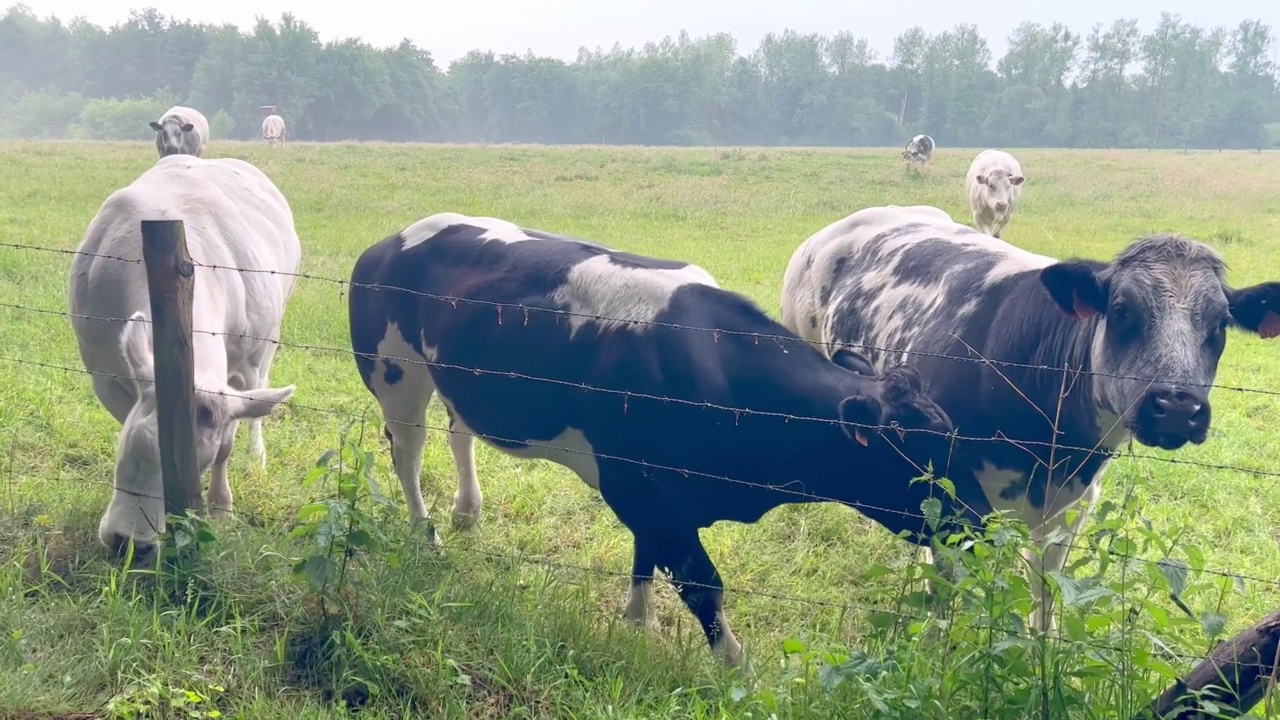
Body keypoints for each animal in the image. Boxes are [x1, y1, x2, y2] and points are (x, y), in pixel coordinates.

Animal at [67, 152, 302, 556]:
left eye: (195, 464)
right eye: (133, 447)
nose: (127, 542)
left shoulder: (236, 371)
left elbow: (226, 444)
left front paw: (221, 507)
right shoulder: (104, 374)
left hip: (271, 334)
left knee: (261, 390)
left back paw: (257, 457)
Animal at [350, 210, 962, 666]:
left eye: (950, 434)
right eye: (915, 454)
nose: (967, 524)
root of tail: (387, 242)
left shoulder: (655, 495)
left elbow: (646, 559)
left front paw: (636, 624)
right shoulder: (639, 485)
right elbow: (701, 584)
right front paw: (734, 669)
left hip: (455, 379)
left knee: (459, 432)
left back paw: (466, 513)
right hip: (395, 373)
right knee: (408, 452)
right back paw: (425, 533)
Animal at [773, 204, 1280, 630]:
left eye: (1220, 323)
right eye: (1121, 310)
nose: (1176, 407)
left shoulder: (1071, 510)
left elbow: (1046, 600)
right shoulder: (952, 495)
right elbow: (944, 602)